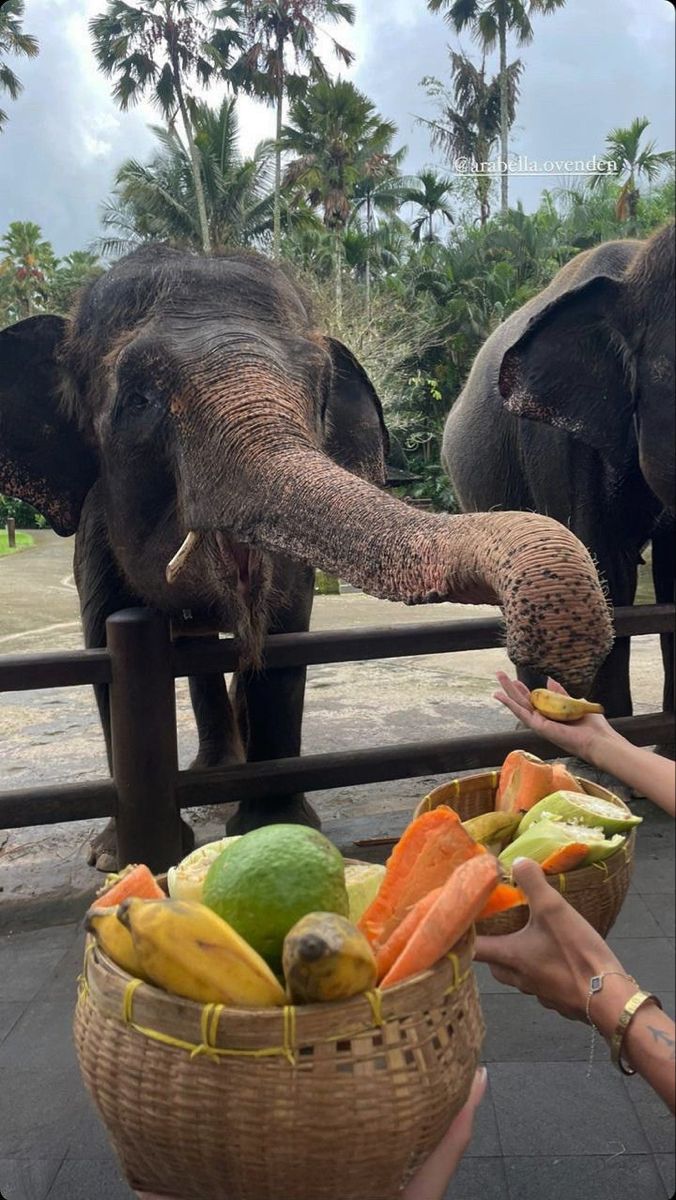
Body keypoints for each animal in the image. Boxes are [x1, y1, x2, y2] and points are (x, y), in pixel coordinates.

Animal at [0, 243, 614, 868]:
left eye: (317, 388)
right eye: (138, 400)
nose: (546, 662)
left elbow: (284, 643)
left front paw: (273, 826)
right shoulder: (93, 530)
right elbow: (102, 643)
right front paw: (115, 859)